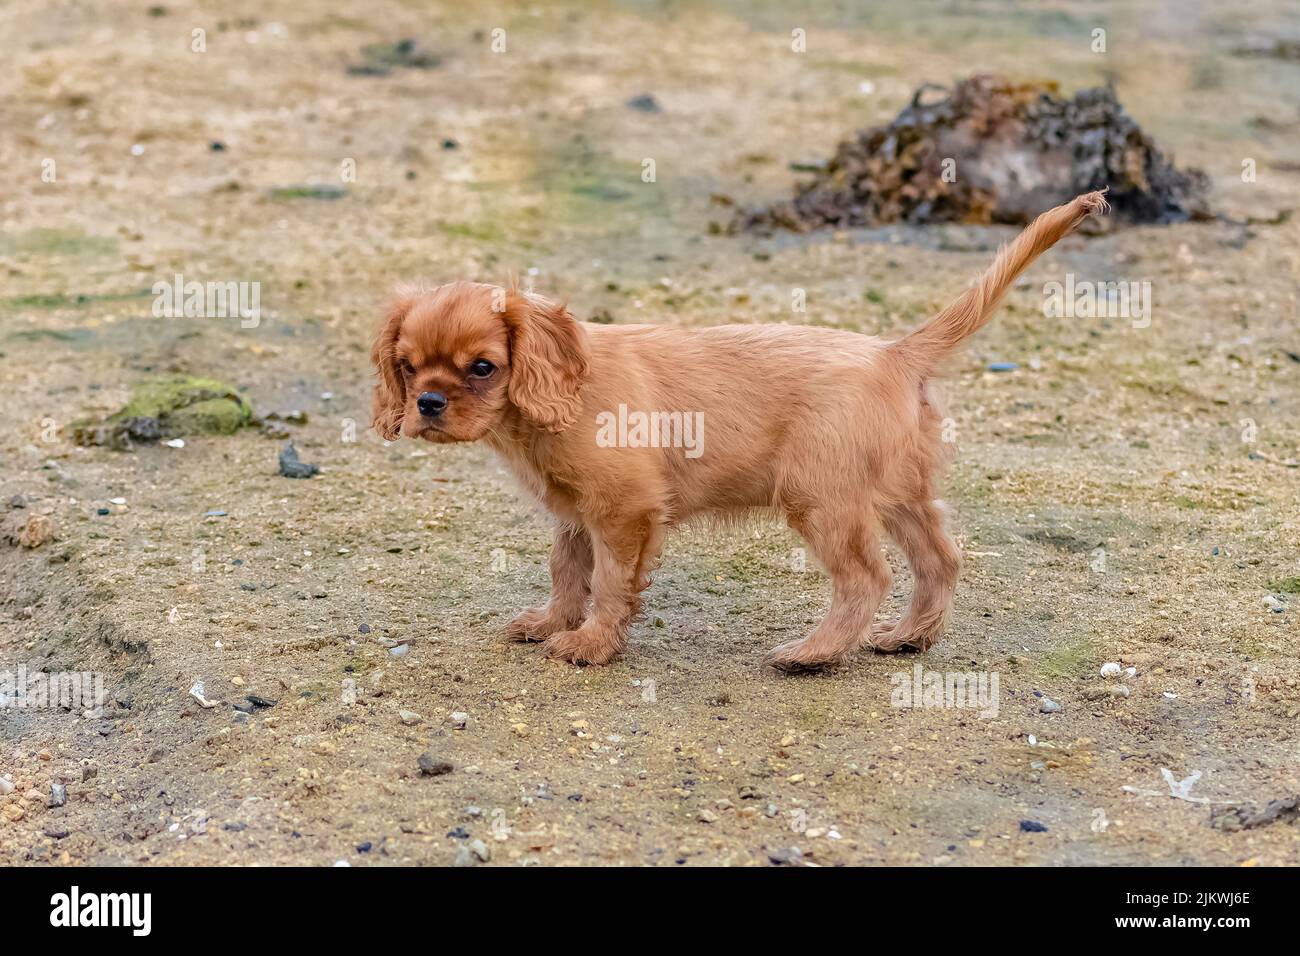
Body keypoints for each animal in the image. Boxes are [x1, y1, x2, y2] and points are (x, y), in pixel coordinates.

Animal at [374, 192, 1107, 671]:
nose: (428, 404)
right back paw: (909, 637)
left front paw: (590, 644)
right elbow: (566, 572)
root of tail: (892, 352)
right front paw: (553, 622)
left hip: (822, 500)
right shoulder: (576, 515)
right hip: (901, 493)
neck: (553, 404)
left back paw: (813, 653)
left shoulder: (622, 512)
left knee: (865, 578)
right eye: (408, 367)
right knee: (940, 560)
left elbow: (609, 582)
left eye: (482, 368)